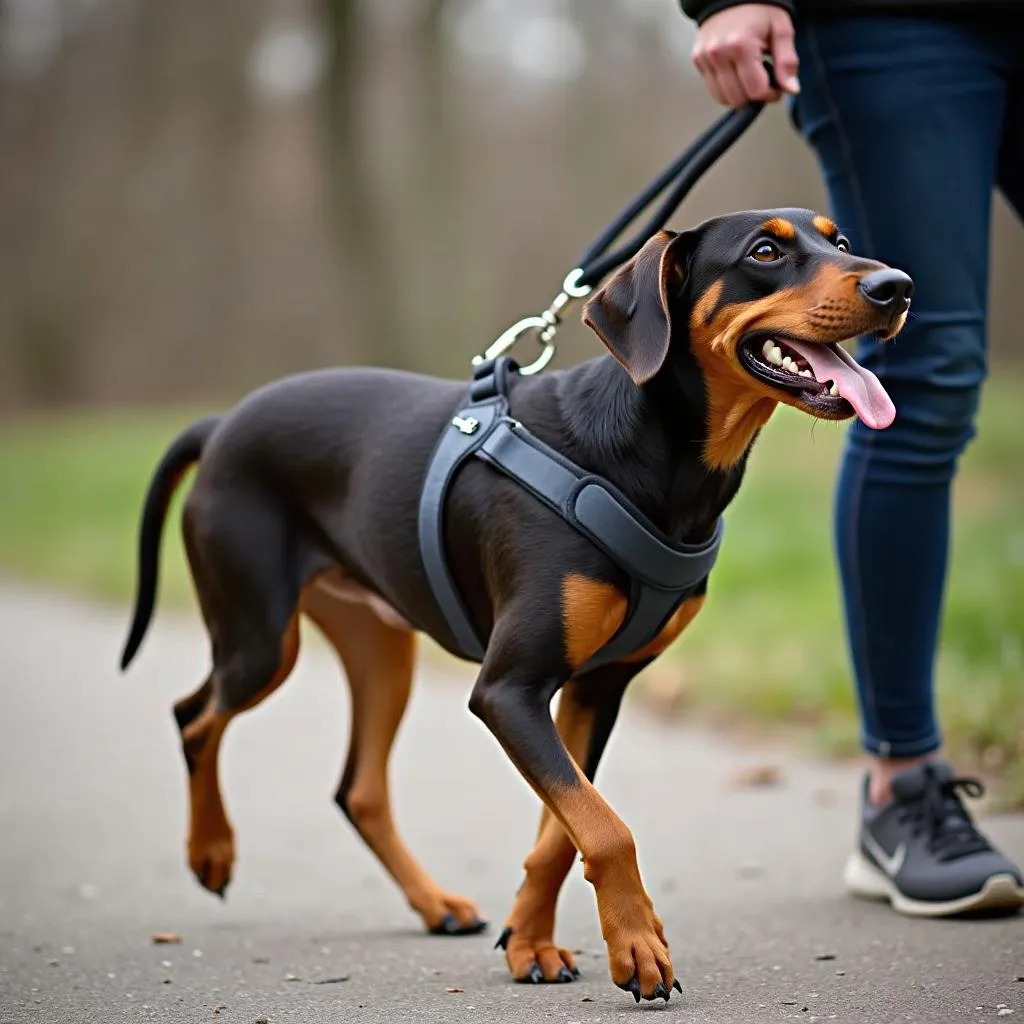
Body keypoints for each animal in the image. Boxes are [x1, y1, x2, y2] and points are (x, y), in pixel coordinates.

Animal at [119, 207, 913, 999]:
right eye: (766, 250)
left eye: (840, 242)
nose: (897, 285)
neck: (655, 461)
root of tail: (222, 424)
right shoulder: (508, 689)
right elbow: (603, 825)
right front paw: (638, 948)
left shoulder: (595, 689)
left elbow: (563, 828)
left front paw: (531, 942)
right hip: (261, 638)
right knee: (194, 717)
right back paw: (212, 852)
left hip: (380, 647)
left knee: (358, 788)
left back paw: (434, 903)